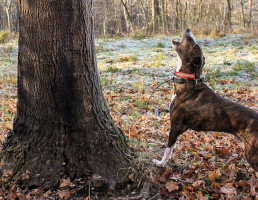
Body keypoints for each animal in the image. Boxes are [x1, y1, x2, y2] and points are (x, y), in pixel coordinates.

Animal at [153, 28, 258, 171]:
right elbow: (172, 149)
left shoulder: (175, 126)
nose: (188, 29)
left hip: (252, 155)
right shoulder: (181, 129)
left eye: (193, 44)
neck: (188, 81)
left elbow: (168, 149)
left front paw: (160, 163)